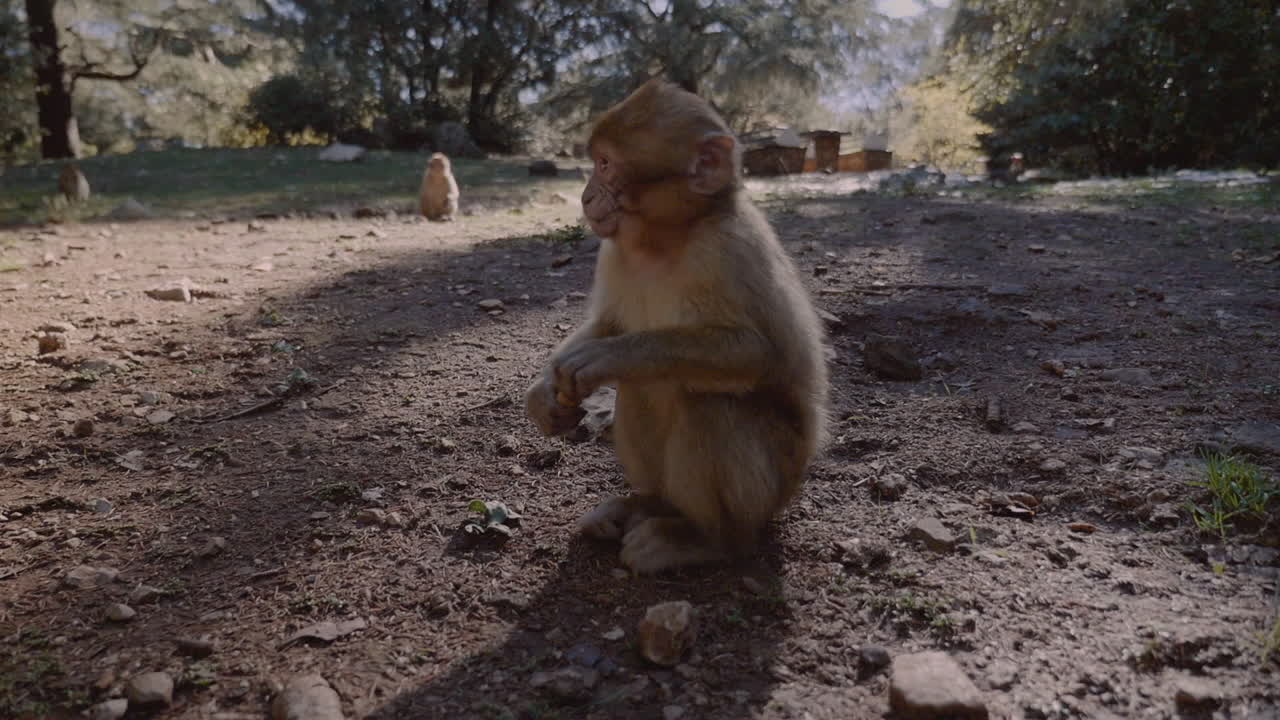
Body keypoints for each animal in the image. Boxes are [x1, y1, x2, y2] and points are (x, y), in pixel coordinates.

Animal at [525, 78, 829, 575]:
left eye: (605, 164)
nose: (586, 196)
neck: (665, 239)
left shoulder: (726, 249)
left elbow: (760, 354)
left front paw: (611, 356)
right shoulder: (615, 251)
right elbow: (609, 321)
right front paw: (545, 390)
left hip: (775, 485)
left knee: (705, 403)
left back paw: (709, 540)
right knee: (643, 390)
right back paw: (647, 506)